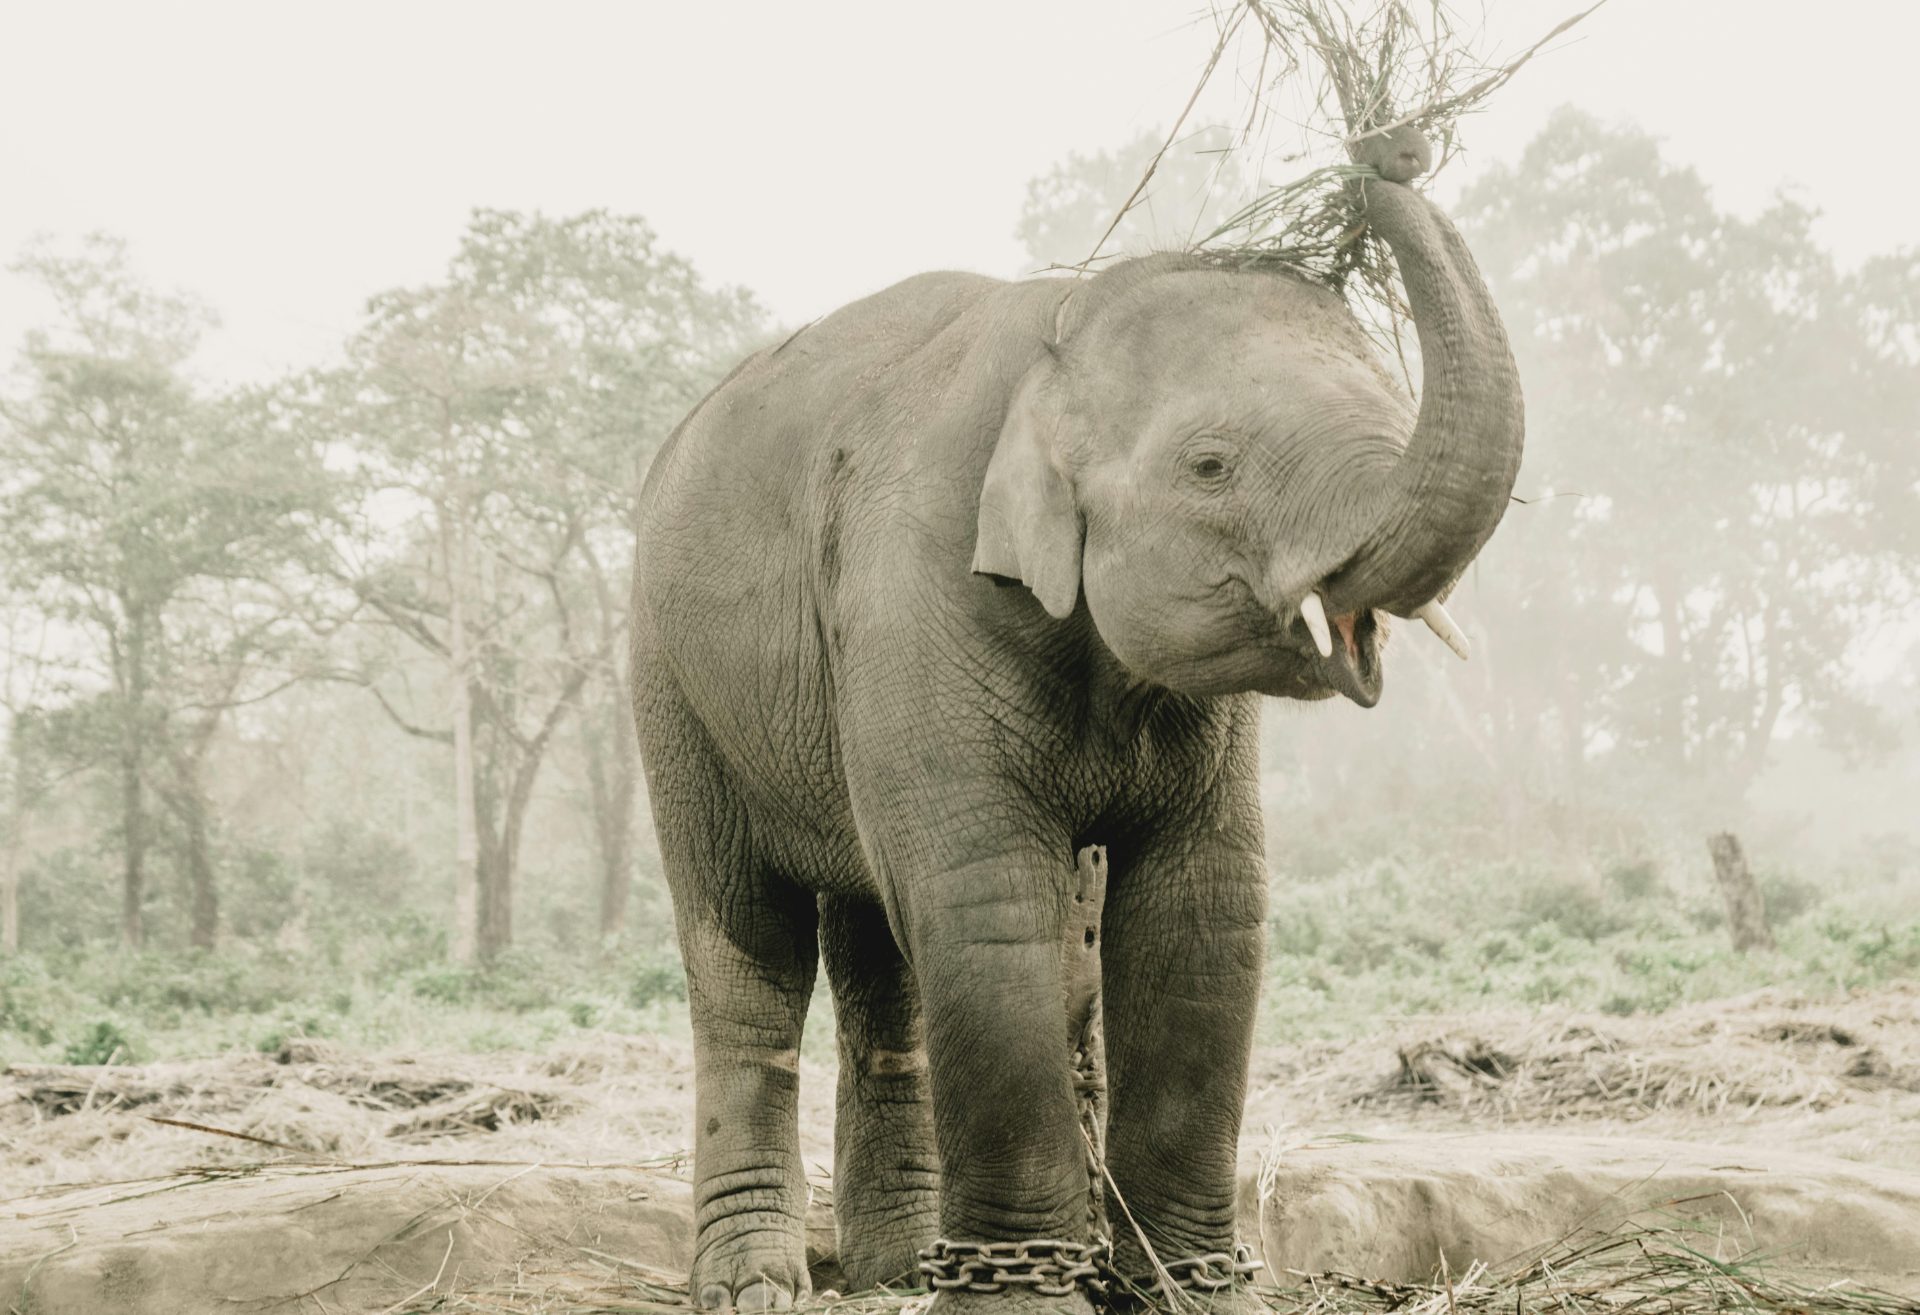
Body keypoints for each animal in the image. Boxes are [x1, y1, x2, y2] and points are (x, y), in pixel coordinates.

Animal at [629, 125, 1522, 1313]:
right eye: (1211, 465)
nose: (1392, 147)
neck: (1059, 333)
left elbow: (1205, 912)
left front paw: (1196, 1291)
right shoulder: (914, 588)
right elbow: (987, 899)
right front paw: (1025, 1297)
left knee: (883, 961)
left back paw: (902, 1267)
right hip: (670, 682)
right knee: (747, 947)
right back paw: (756, 1286)